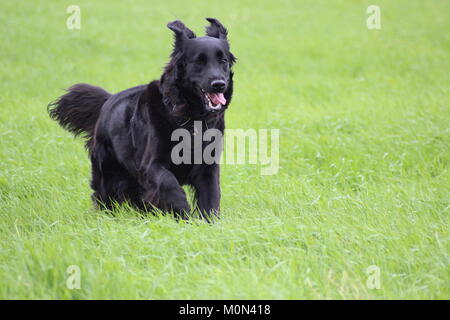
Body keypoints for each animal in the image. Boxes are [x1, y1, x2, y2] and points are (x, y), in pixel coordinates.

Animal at [48, 18, 237, 220]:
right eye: (199, 61)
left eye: (223, 61)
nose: (219, 84)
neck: (190, 119)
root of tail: (108, 100)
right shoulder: (151, 165)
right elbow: (169, 184)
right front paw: (182, 212)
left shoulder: (208, 166)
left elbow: (211, 196)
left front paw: (208, 222)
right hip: (107, 173)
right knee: (104, 197)